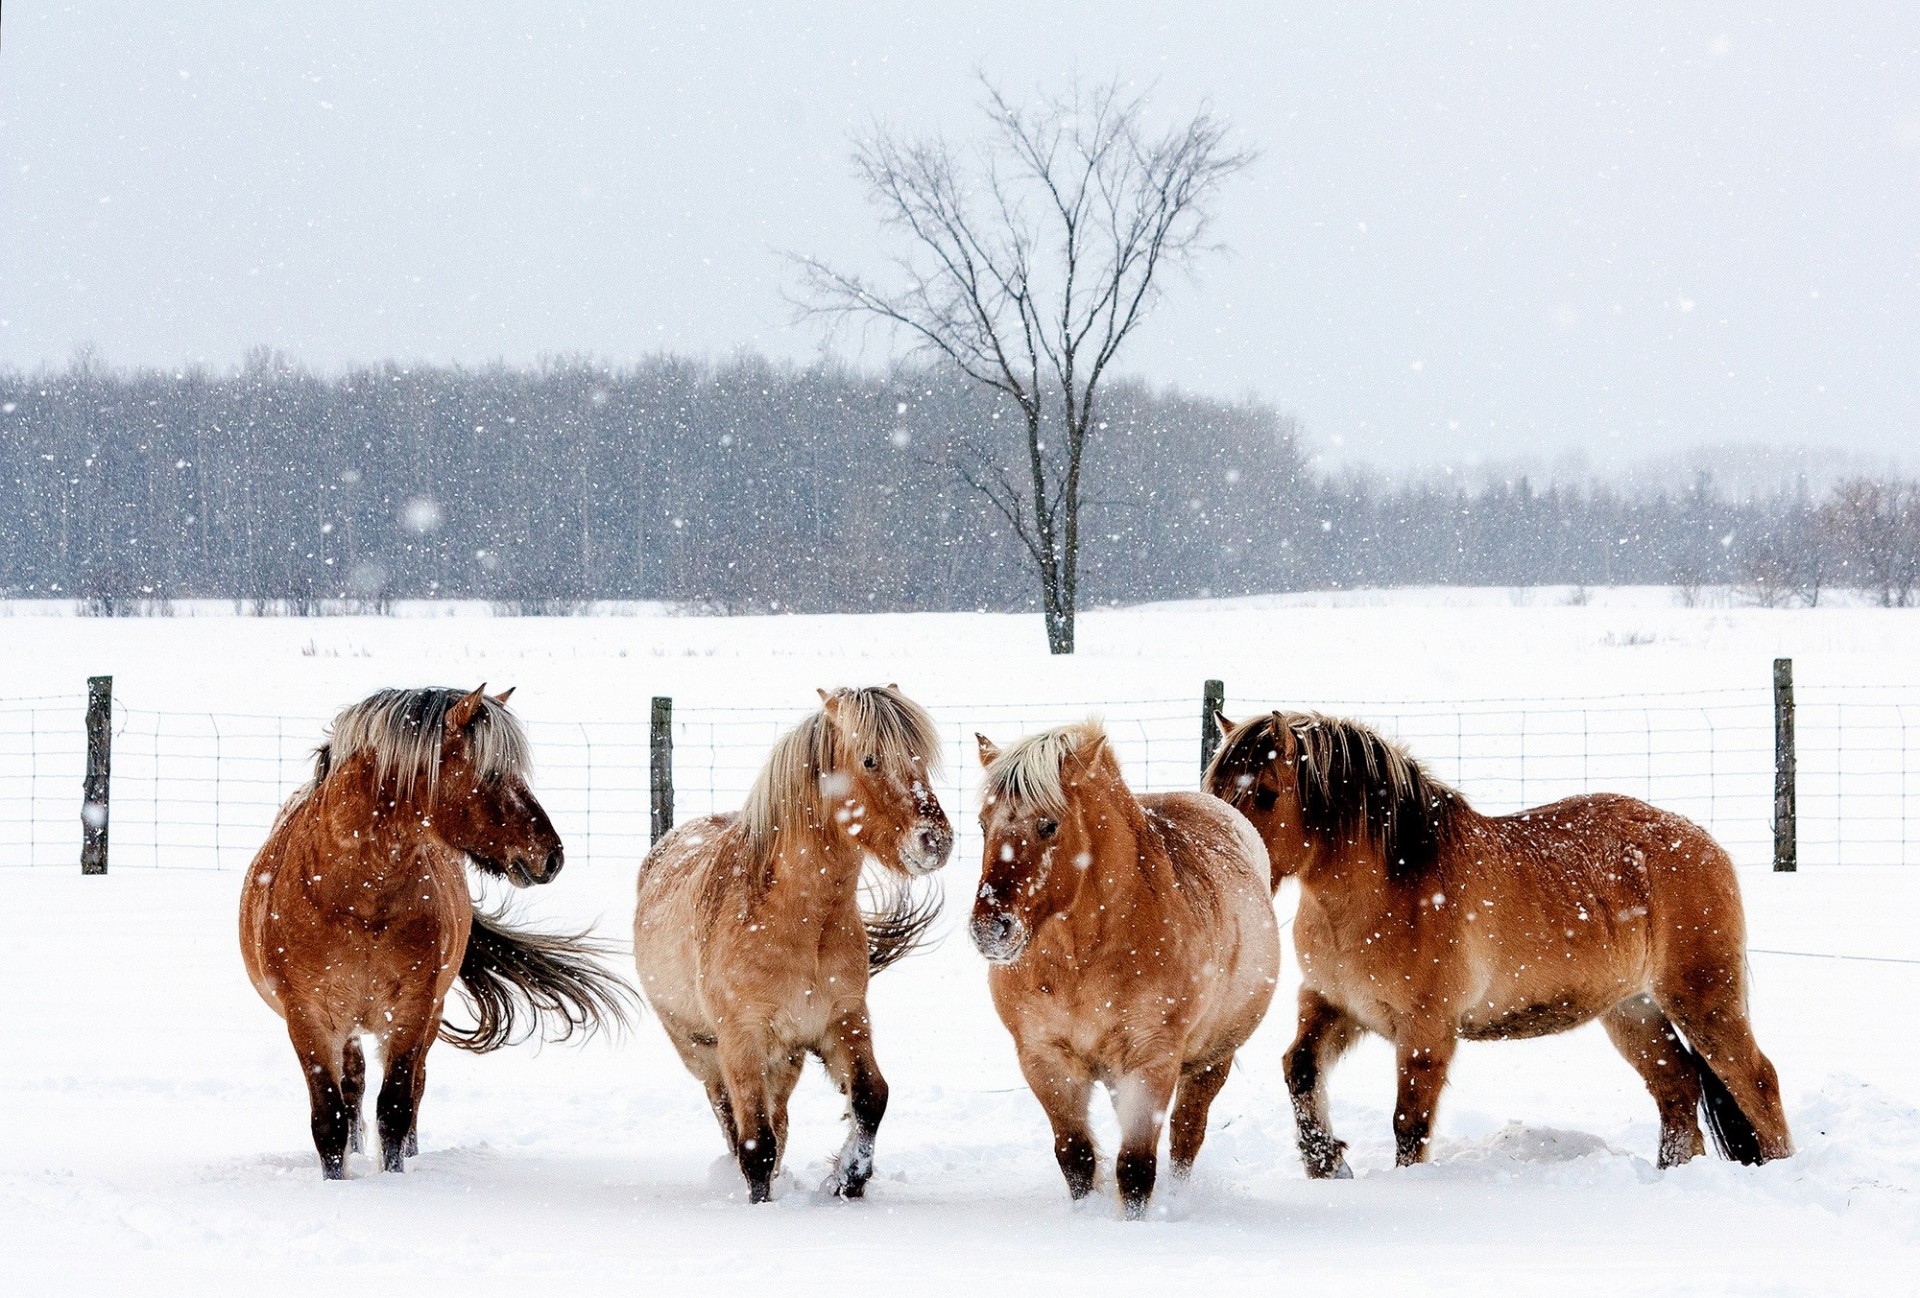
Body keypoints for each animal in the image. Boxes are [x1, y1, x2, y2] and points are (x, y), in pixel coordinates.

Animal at [240, 685, 631, 1179]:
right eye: (493, 772)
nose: (552, 856)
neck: (359, 901)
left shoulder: (413, 1008)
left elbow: (395, 1107)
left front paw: (395, 1176)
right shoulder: (308, 1016)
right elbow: (328, 1118)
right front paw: (338, 1179)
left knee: (414, 1086)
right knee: (353, 1083)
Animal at [632, 684, 953, 1203]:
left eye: (920, 757)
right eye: (870, 760)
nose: (935, 842)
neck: (800, 923)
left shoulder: (844, 1018)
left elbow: (870, 1098)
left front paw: (849, 1178)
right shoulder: (741, 1038)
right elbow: (754, 1143)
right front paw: (764, 1203)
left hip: (786, 1058)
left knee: (779, 1117)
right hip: (701, 1051)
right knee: (730, 1116)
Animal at [970, 720, 1280, 1218]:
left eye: (1048, 824)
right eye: (983, 824)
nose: (989, 930)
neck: (1080, 960)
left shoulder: (1151, 1059)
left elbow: (1136, 1167)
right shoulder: (1044, 1059)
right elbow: (1075, 1156)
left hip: (1212, 1060)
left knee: (1187, 1133)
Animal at [1204, 709, 1793, 1178]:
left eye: (1266, 794)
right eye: (1213, 789)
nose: (1231, 859)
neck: (1394, 884)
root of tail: (1704, 842)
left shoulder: (1427, 1031)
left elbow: (1409, 1122)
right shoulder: (1331, 1003)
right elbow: (1299, 1068)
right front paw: (1328, 1165)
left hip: (1703, 1000)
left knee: (1756, 1080)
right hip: (1633, 1011)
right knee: (1678, 1088)